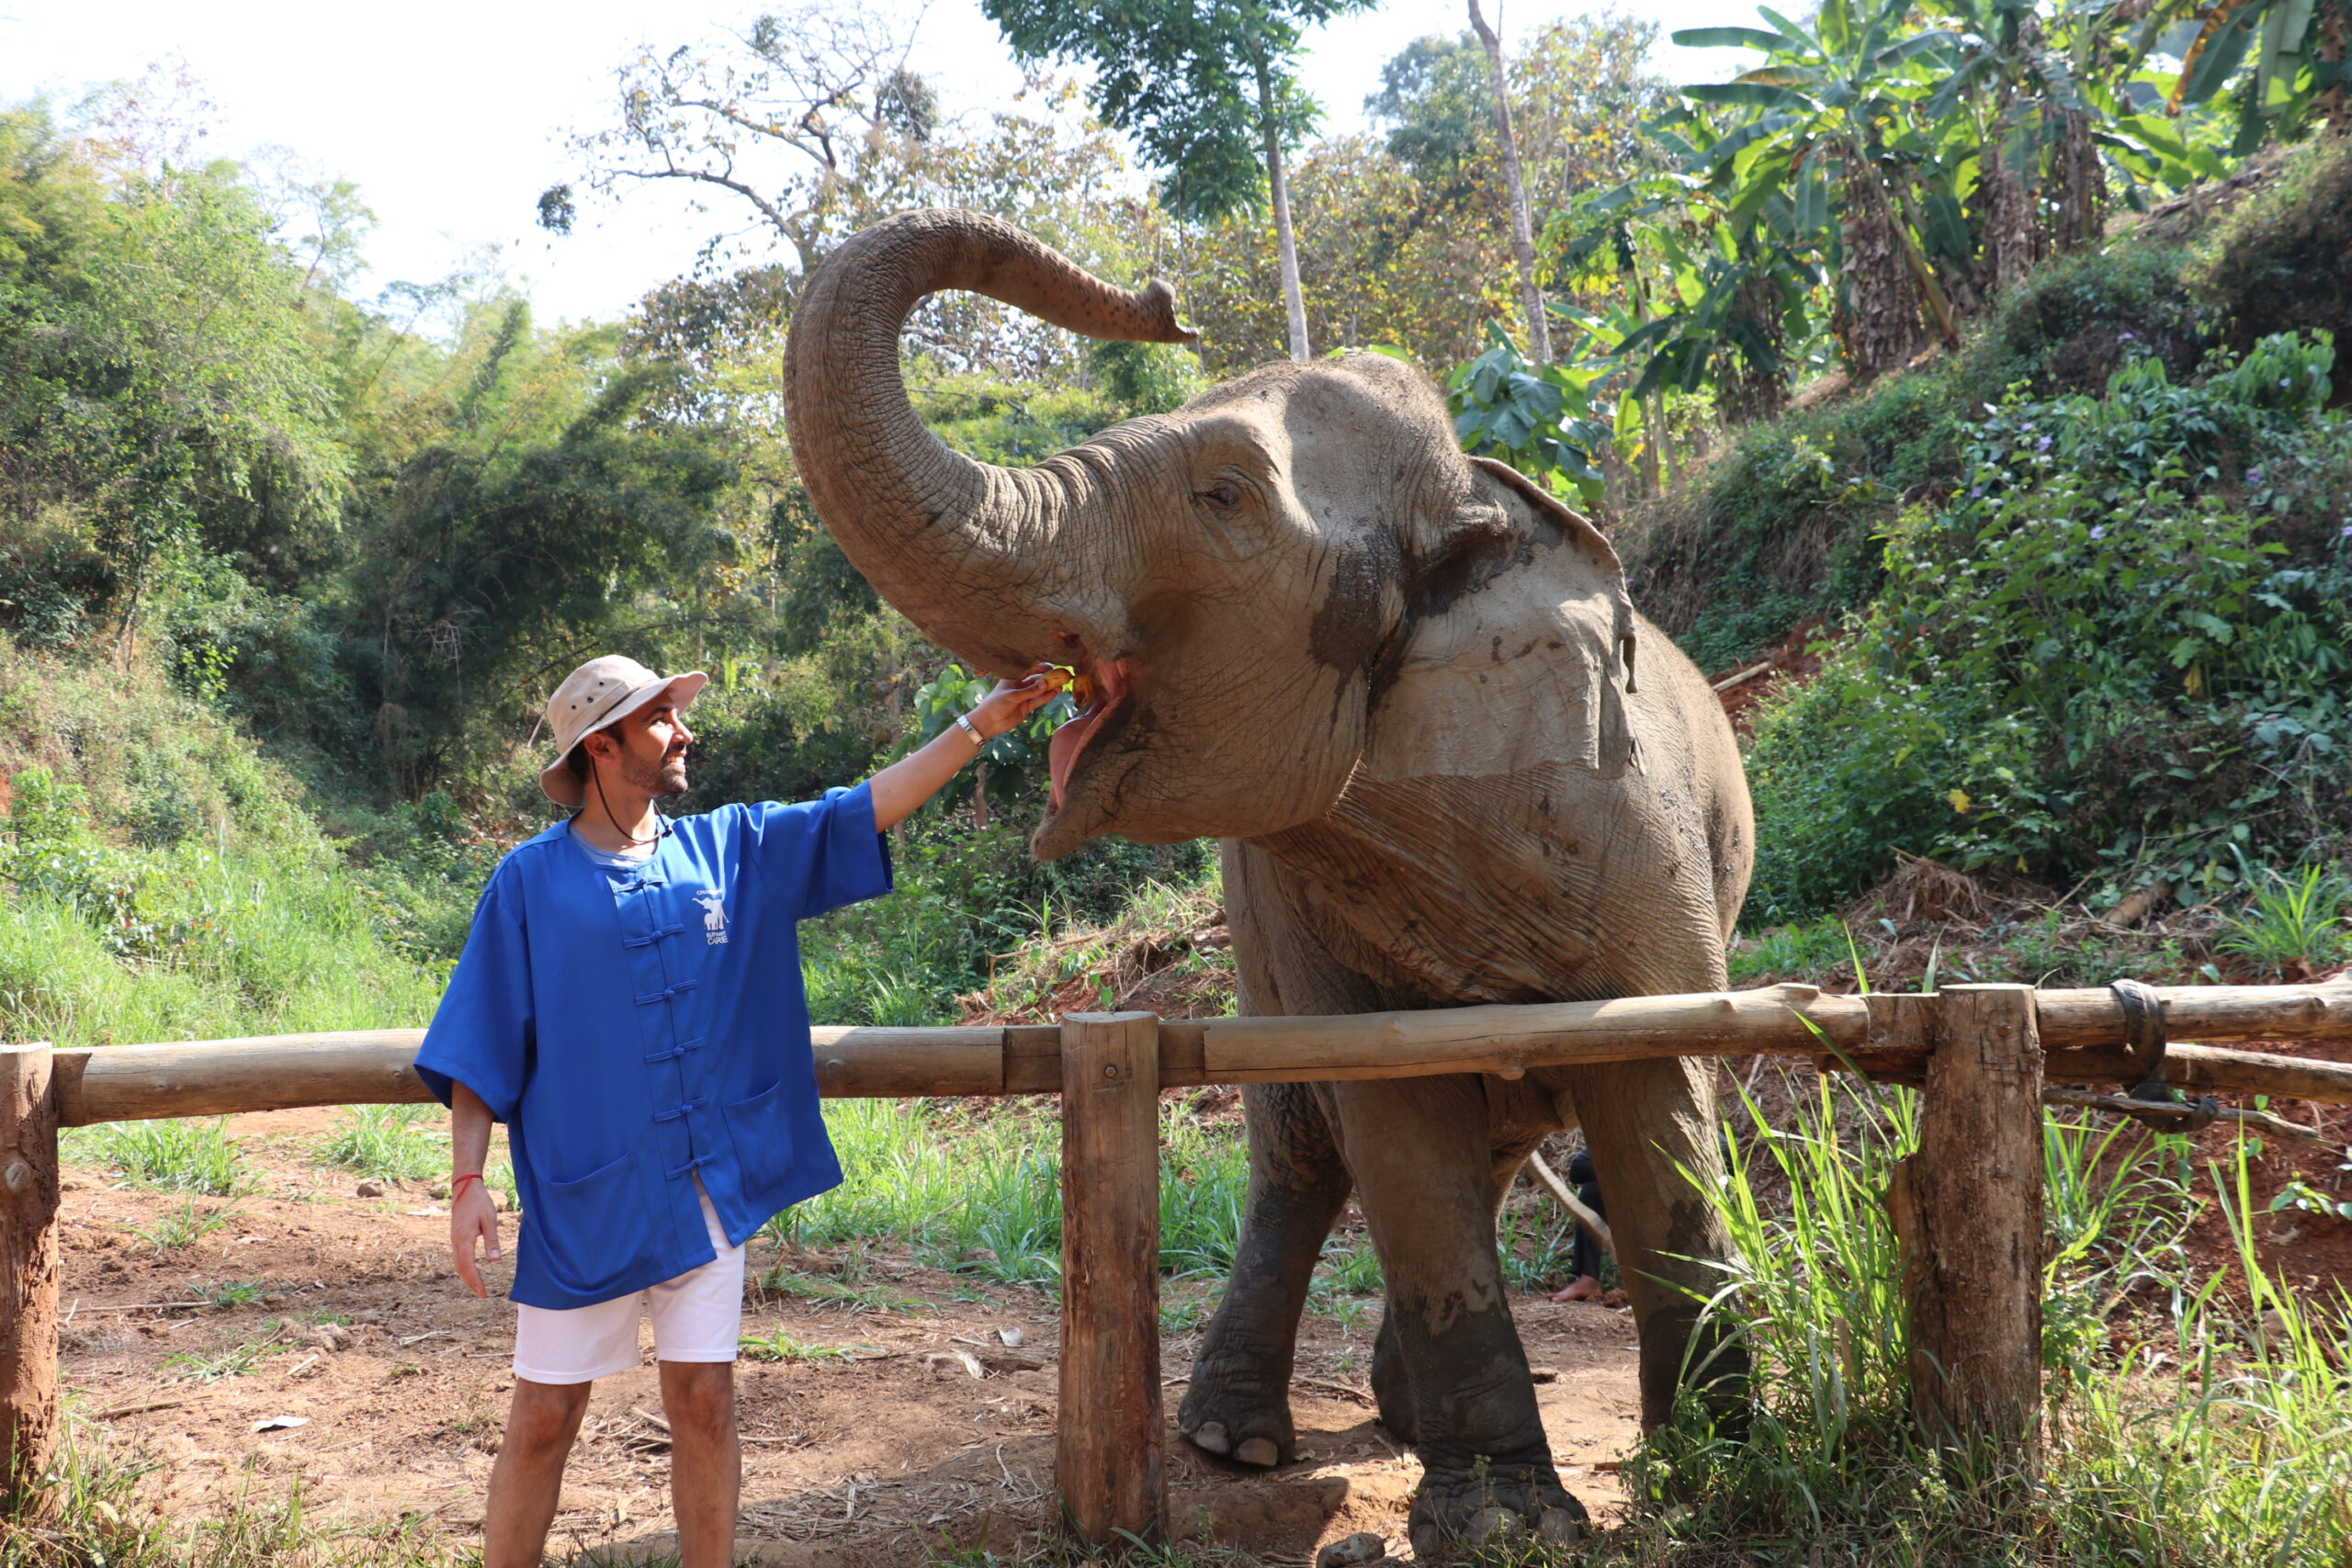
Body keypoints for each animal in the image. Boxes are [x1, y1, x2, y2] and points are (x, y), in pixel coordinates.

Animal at [782, 209, 1753, 1552]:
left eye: (1224, 494)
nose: (1164, 300)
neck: (1483, 503)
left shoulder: (1642, 849)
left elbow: (1659, 1101)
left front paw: (1720, 1472)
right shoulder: (1298, 902)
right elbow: (1394, 1119)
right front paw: (1510, 1526)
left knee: (1484, 1132)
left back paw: (1393, 1413)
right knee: (1306, 1147)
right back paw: (1234, 1440)